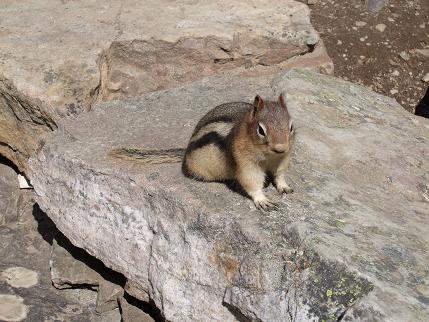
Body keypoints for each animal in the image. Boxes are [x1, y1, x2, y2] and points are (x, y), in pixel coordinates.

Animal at [109, 94, 294, 210]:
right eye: (261, 130)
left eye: (291, 126)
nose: (280, 148)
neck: (269, 156)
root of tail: (186, 153)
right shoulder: (245, 163)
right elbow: (251, 181)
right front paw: (262, 200)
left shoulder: (283, 158)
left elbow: (279, 174)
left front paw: (284, 187)